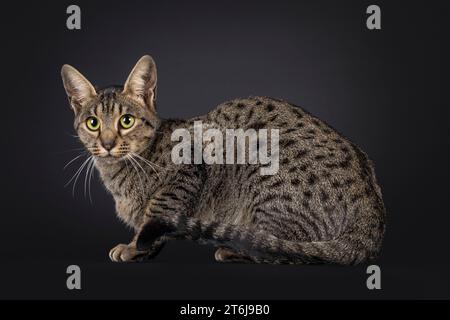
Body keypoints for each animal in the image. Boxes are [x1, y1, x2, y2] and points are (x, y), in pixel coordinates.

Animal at [61, 55, 386, 264]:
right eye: (92, 123)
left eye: (126, 121)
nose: (107, 144)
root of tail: (373, 211)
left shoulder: (188, 169)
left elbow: (156, 212)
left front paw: (134, 247)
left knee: (285, 250)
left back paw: (235, 249)